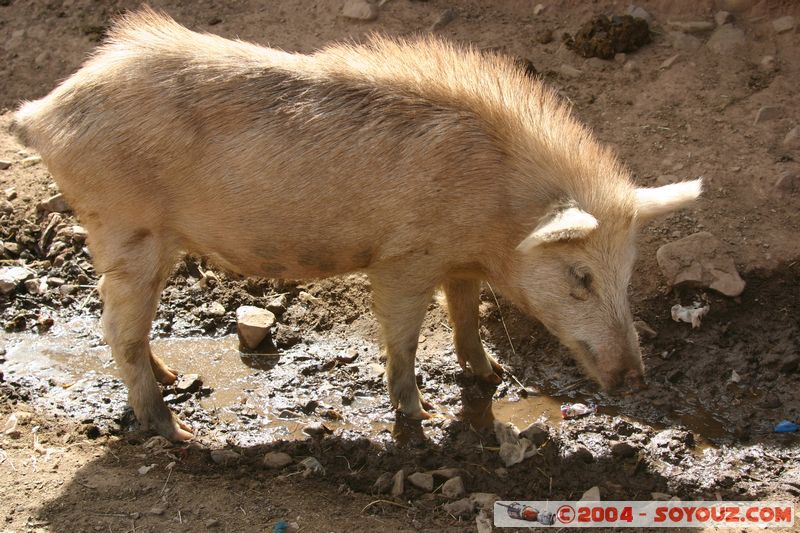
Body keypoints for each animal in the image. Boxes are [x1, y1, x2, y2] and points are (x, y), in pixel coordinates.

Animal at [11, 8, 701, 441]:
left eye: (627, 275)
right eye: (581, 276)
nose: (636, 379)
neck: (498, 211)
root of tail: (44, 111)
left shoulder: (457, 262)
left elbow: (467, 314)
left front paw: (490, 376)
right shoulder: (405, 257)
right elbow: (403, 335)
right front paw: (421, 418)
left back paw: (175, 378)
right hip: (124, 226)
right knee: (116, 328)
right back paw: (174, 429)